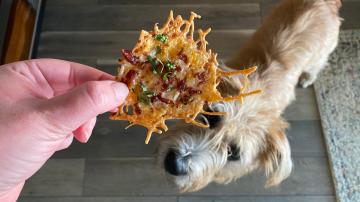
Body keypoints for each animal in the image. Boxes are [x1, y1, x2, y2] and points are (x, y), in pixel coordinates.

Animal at [155, 0, 340, 193]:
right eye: (211, 117)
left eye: (233, 153)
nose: (174, 163)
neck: (261, 95)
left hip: (319, 57)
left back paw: (306, 79)